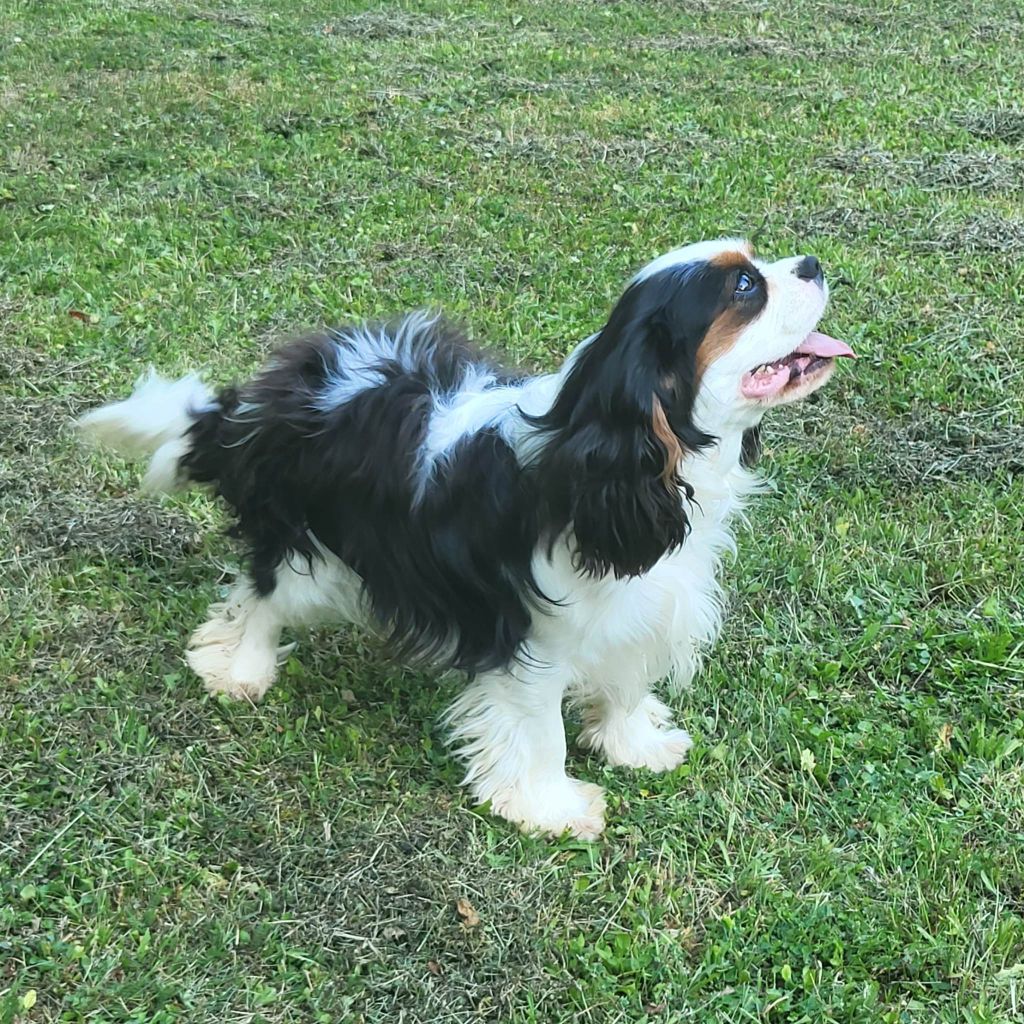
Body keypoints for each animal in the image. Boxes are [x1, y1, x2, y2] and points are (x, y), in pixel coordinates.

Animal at [78, 238, 854, 839]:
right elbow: (539, 729)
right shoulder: (532, 637)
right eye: (745, 286)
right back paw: (241, 667)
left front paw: (633, 744)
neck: (617, 452)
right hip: (310, 548)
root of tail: (262, 397)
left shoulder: (639, 604)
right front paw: (550, 807)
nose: (814, 262)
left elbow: (627, 680)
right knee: (263, 594)